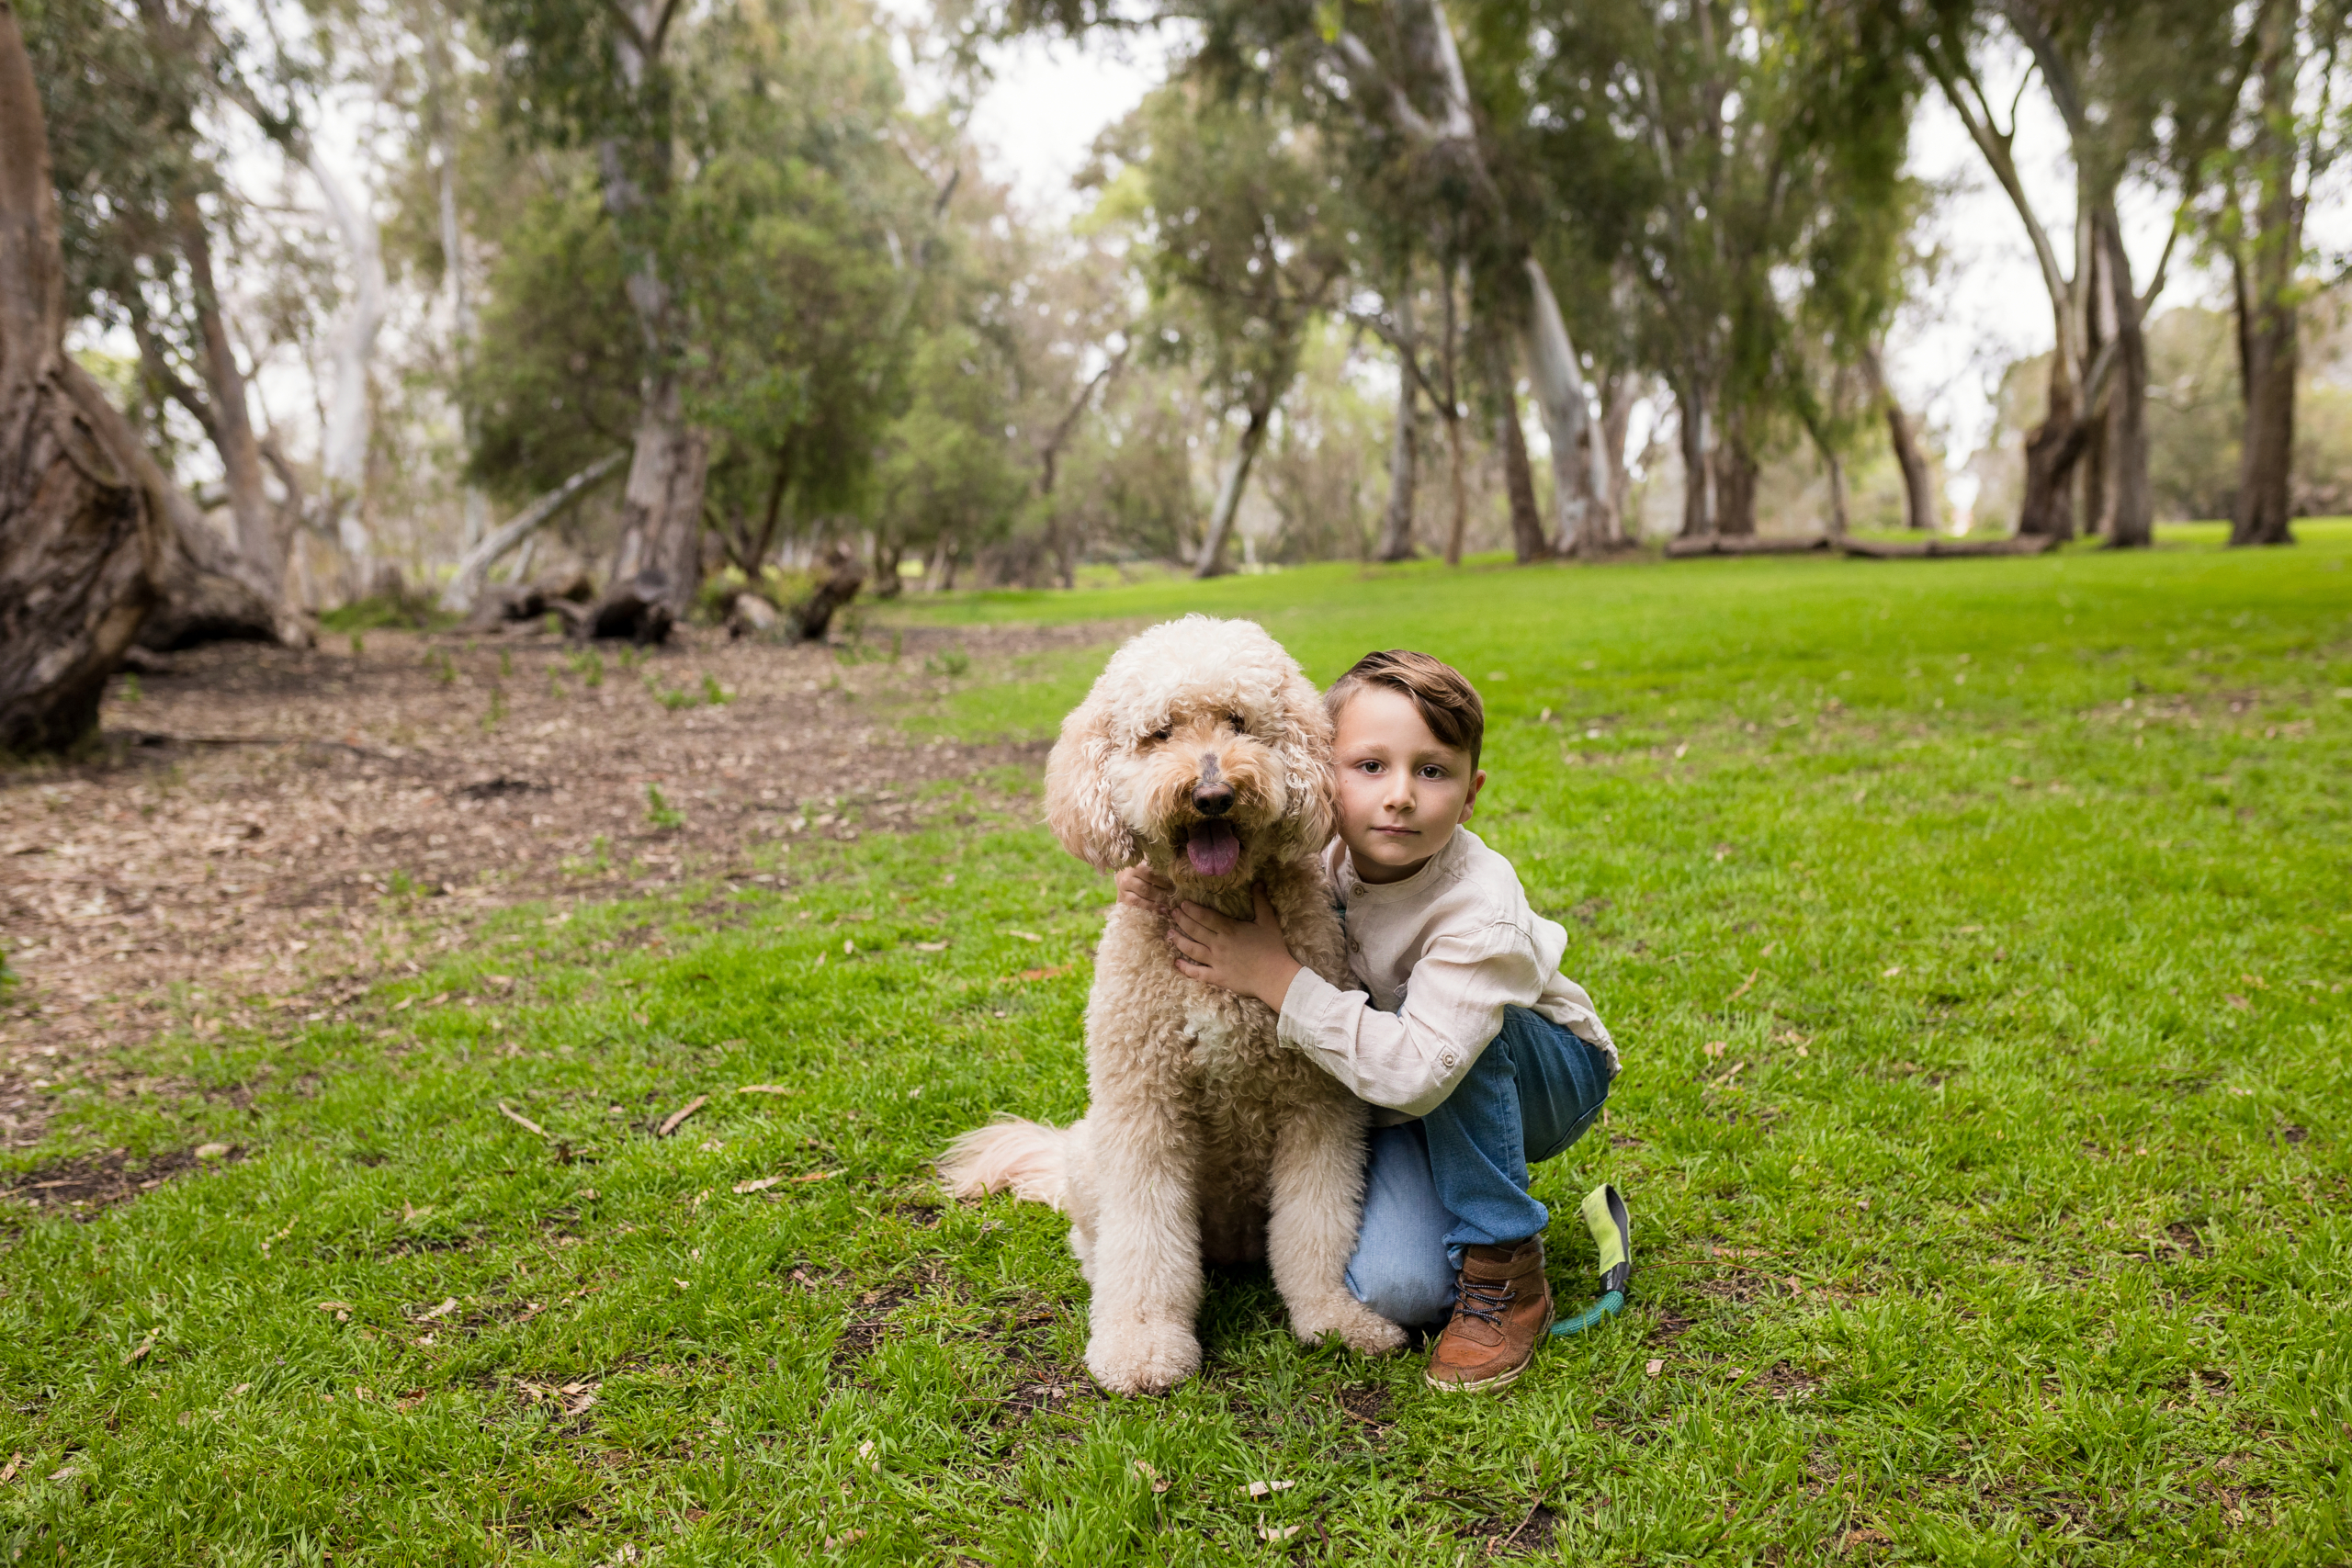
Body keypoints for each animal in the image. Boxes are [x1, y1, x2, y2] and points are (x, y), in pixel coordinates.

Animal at [941, 620, 1411, 1392]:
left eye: (1240, 722)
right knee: (1097, 1237)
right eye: (1159, 733)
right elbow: (1143, 1238)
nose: (1213, 792)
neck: (1216, 907)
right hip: (1091, 1152)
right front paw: (1140, 1344)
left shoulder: (1318, 1104)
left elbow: (1318, 1223)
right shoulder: (1145, 1106)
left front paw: (1335, 1317)